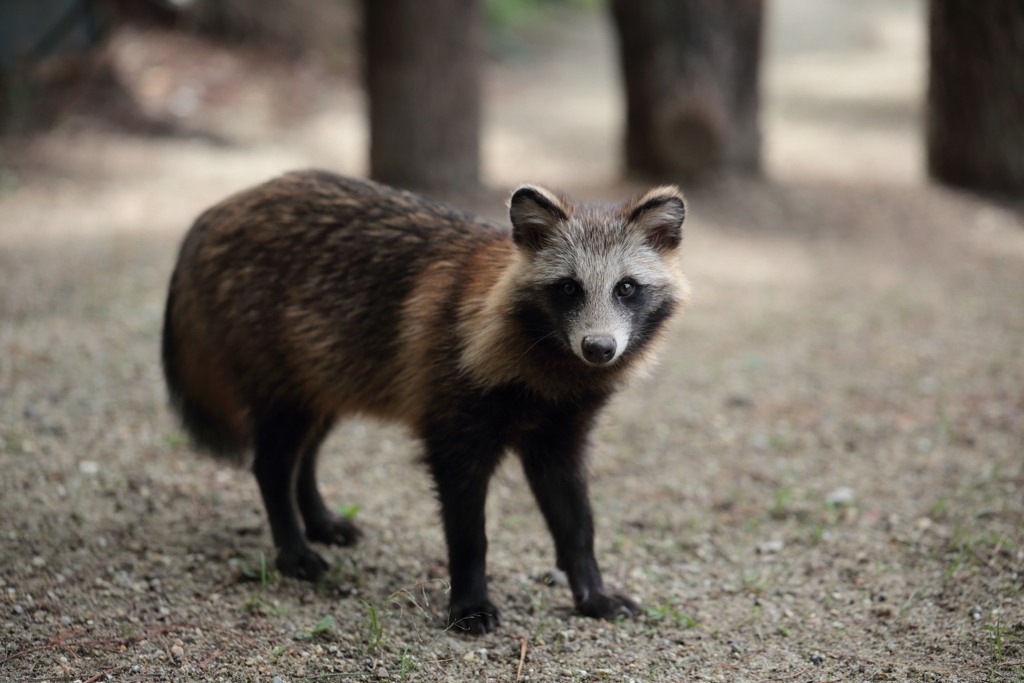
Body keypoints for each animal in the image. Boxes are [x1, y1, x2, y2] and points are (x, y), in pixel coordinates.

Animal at [161, 172, 688, 634]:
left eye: (625, 287)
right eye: (568, 288)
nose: (599, 349)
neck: (554, 368)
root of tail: (222, 207)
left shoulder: (562, 430)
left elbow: (575, 522)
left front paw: (590, 589)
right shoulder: (454, 412)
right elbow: (469, 531)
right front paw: (470, 599)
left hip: (328, 372)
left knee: (304, 455)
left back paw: (316, 517)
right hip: (280, 374)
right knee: (272, 464)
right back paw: (292, 546)